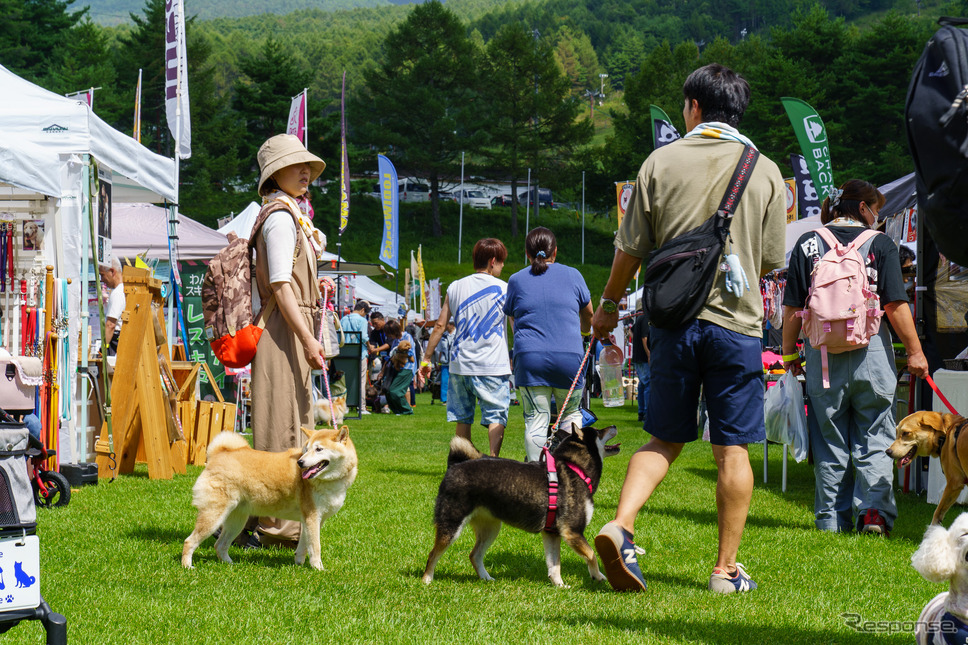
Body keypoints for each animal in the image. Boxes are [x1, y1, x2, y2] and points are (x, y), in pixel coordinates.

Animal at [180, 428, 358, 568]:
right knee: (189, 541)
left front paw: (299, 564)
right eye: (306, 449)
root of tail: (218, 453)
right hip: (214, 516)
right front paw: (318, 569)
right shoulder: (312, 517)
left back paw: (230, 564)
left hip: (236, 520)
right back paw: (187, 566)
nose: (300, 462)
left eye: (319, 449)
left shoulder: (312, 520)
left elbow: (304, 546)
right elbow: (315, 547)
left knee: (220, 545)